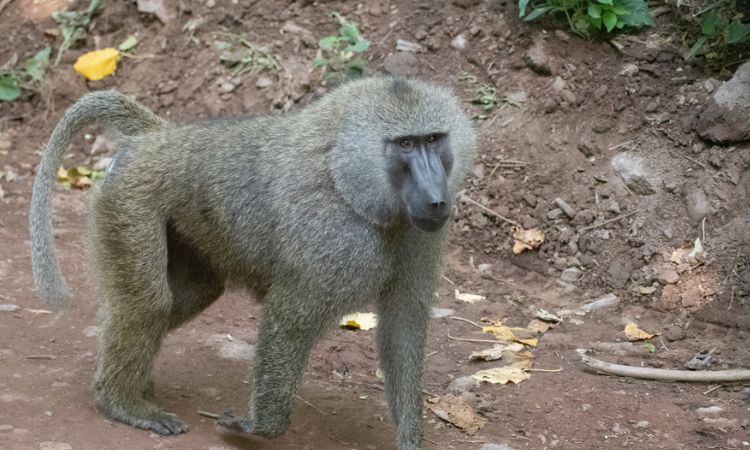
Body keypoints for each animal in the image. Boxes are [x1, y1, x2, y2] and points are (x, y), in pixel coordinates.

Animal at [29, 76, 477, 450]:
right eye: (406, 145)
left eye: (434, 139)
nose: (437, 201)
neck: (346, 177)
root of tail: (159, 136)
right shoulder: (333, 237)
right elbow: (291, 316)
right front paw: (261, 428)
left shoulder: (418, 235)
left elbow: (403, 325)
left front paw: (411, 442)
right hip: (130, 201)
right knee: (149, 304)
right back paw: (119, 401)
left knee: (189, 296)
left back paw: (122, 384)